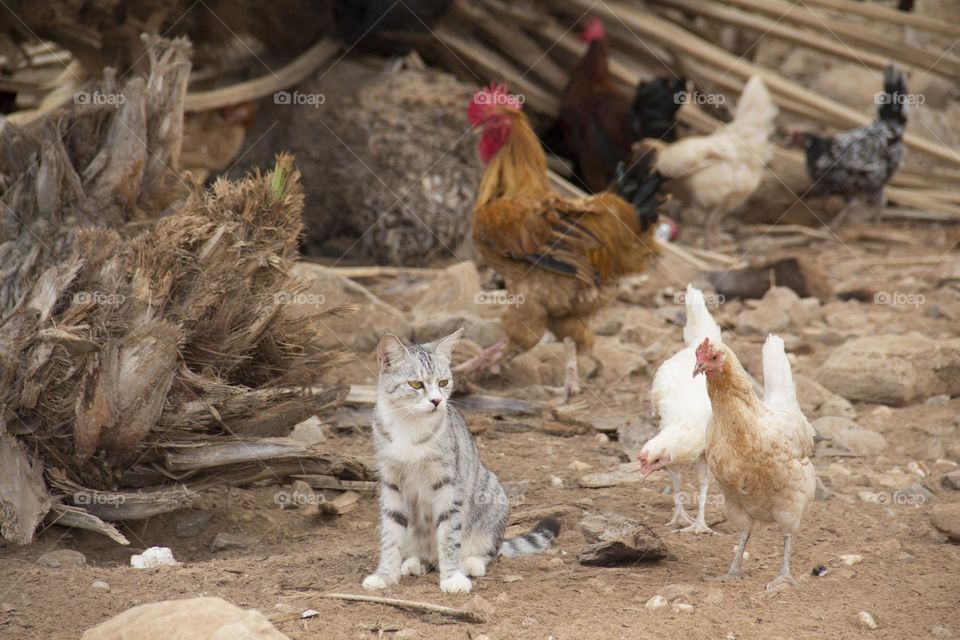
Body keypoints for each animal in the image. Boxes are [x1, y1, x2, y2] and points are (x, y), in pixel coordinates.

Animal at [366, 330, 564, 596]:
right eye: (416, 384)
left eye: (443, 382)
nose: (437, 401)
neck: (409, 425)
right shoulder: (391, 483)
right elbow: (390, 534)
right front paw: (385, 575)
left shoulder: (448, 483)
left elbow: (449, 535)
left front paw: (452, 578)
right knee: (427, 554)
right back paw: (415, 561)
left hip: (492, 494)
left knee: (490, 551)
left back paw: (470, 563)